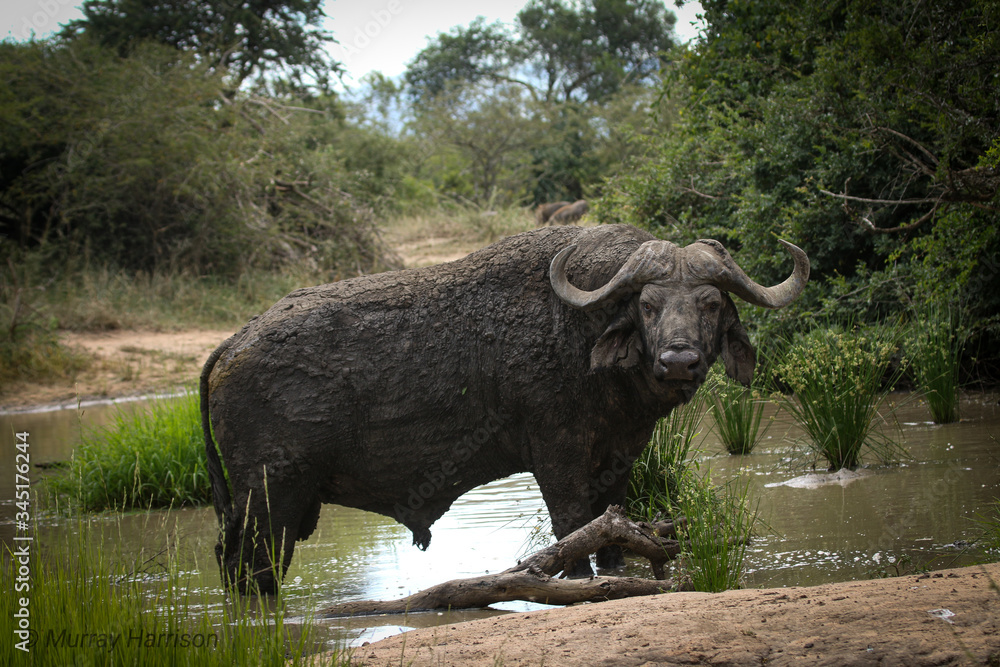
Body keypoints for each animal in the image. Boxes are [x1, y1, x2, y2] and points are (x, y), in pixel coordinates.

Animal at [201, 224, 808, 593]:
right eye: (649, 305)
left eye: (710, 304)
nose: (679, 360)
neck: (579, 333)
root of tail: (233, 343)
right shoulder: (558, 456)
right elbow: (572, 525)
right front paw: (579, 579)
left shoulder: (620, 456)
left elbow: (613, 522)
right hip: (270, 500)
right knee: (251, 567)